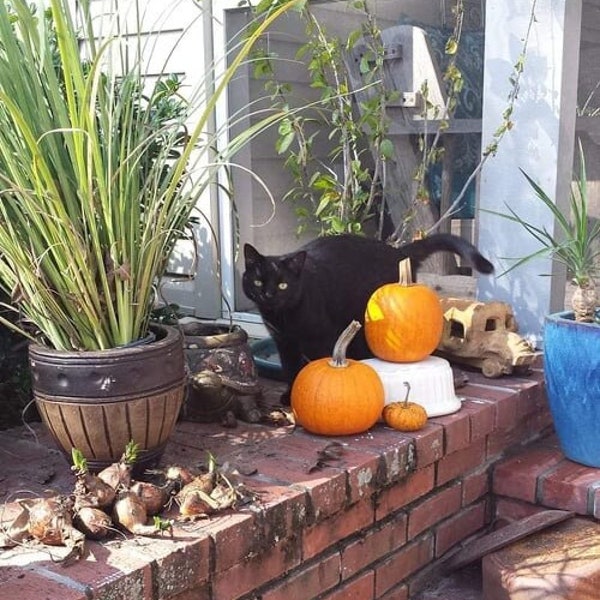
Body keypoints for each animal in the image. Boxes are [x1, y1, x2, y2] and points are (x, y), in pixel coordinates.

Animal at [241, 234, 494, 398]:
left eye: (282, 285)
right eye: (258, 282)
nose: (268, 295)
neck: (282, 317)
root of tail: (399, 251)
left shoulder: (322, 338)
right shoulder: (284, 342)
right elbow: (291, 368)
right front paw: (290, 394)